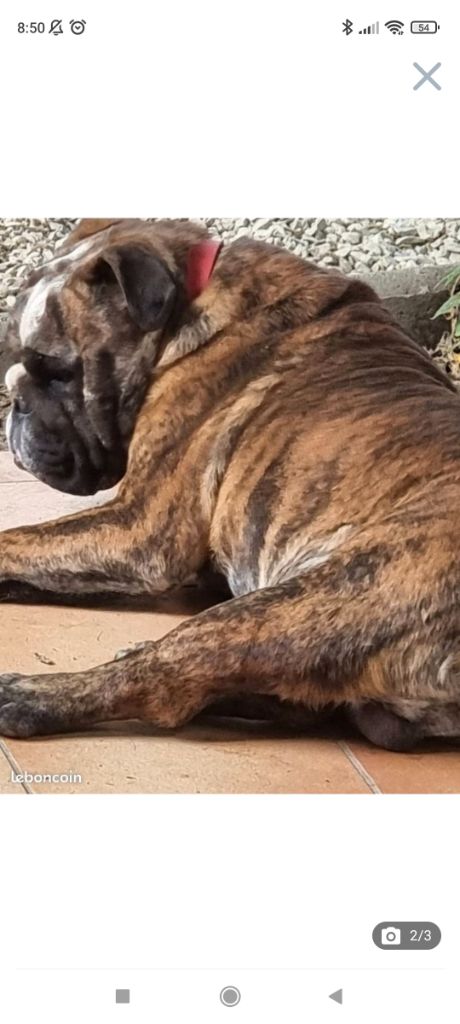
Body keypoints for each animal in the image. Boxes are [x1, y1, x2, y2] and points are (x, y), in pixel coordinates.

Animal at [1, 216, 460, 751]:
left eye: (58, 372)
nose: (16, 401)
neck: (189, 300)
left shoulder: (138, 529)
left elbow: (16, 539)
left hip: (312, 597)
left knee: (164, 685)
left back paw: (33, 696)